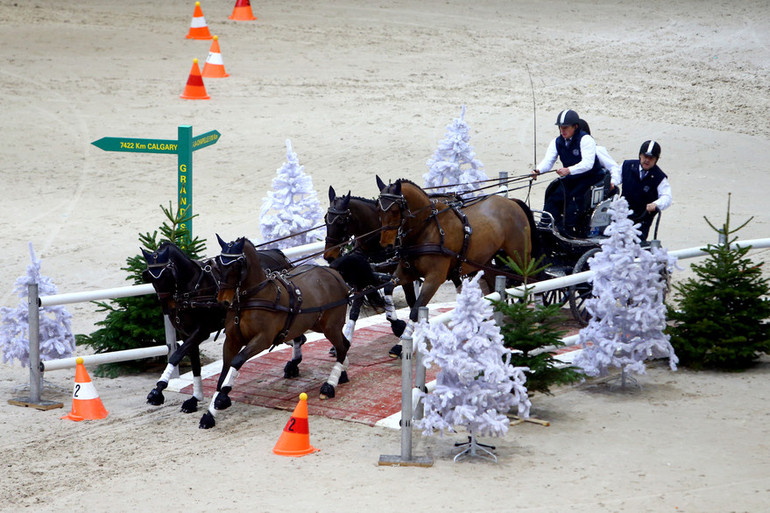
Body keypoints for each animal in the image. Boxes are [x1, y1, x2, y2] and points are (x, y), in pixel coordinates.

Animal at [200, 236, 352, 428]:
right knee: (344, 345)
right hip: (319, 324)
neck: (251, 299)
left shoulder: (262, 339)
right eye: (219, 264)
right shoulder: (232, 340)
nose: (223, 300)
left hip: (330, 326)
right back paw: (341, 374)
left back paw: (330, 385)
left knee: (342, 347)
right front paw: (211, 412)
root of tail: (334, 274)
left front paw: (221, 399)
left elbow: (237, 361)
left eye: (236, 265)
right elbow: (224, 373)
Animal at [376, 176, 536, 356]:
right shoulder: (406, 272)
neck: (426, 229)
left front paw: (402, 342)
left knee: (529, 280)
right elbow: (388, 288)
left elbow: (416, 310)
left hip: (520, 255)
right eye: (379, 210)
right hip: (486, 261)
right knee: (495, 287)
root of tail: (512, 202)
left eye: (395, 211)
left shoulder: (434, 278)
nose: (386, 246)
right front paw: (395, 325)